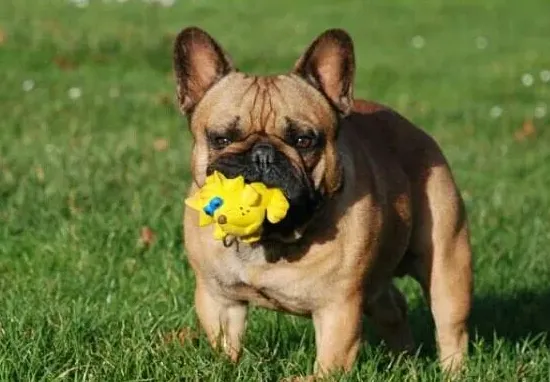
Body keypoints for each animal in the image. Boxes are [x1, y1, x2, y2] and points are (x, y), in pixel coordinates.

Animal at [174, 26, 474, 376]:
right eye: (221, 138)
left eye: (304, 140)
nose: (263, 155)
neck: (271, 240)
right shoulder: (219, 299)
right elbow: (225, 345)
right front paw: (227, 369)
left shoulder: (338, 310)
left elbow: (329, 365)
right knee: (392, 307)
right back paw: (404, 360)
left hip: (447, 265)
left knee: (451, 327)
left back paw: (452, 371)